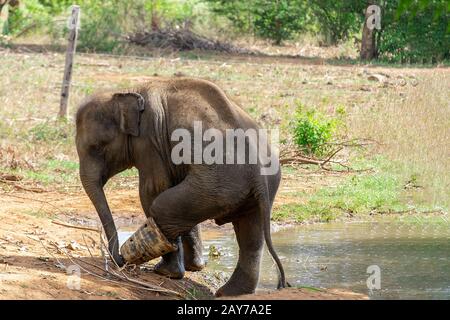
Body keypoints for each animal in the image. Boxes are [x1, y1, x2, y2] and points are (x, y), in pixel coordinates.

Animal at [74, 76, 284, 296]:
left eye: (97, 148)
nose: (119, 260)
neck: (125, 92)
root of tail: (259, 175)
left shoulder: (149, 140)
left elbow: (153, 189)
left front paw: (171, 272)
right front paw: (196, 267)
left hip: (219, 185)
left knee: (162, 208)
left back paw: (167, 272)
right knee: (250, 235)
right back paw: (229, 292)